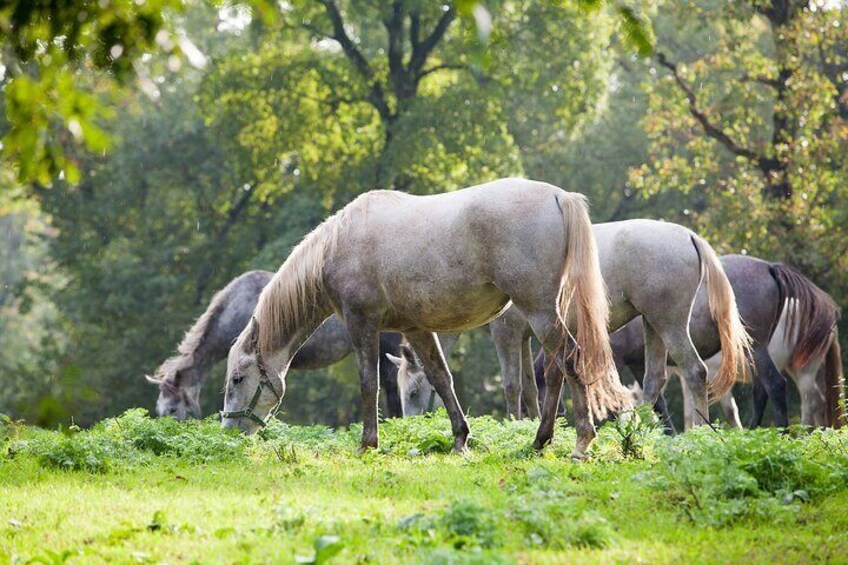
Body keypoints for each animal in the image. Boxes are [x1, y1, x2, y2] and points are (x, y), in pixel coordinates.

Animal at [222, 178, 632, 456]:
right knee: (555, 371)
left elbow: (369, 384)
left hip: (539, 311)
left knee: (570, 362)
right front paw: (460, 439)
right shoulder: (415, 329)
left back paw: (581, 441)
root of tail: (558, 196)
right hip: (546, 314)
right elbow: (441, 378)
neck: (338, 246)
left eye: (238, 378)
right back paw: (541, 439)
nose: (228, 431)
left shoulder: (361, 324)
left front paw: (367, 444)